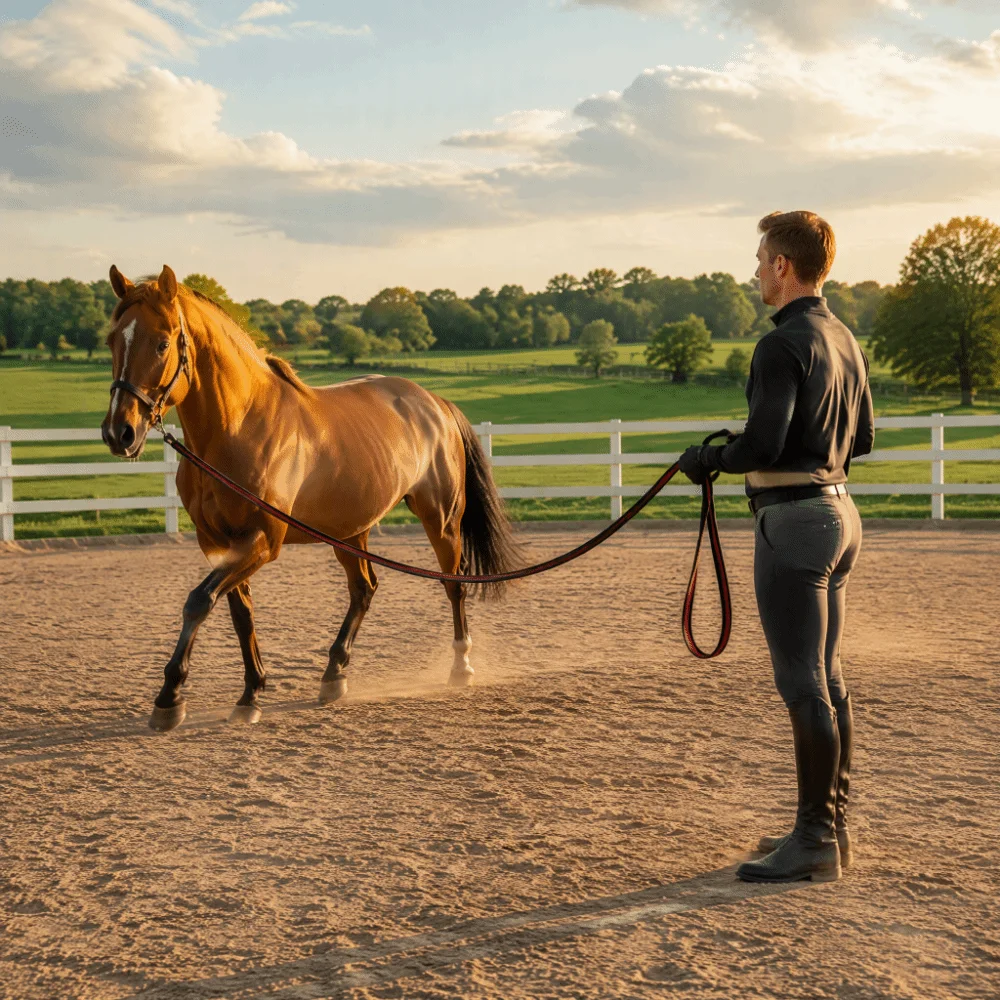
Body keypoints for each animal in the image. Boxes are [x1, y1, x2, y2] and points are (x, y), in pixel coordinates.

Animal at [101, 265, 521, 732]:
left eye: (162, 342)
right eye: (113, 340)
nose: (119, 432)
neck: (238, 428)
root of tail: (435, 403)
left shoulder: (263, 541)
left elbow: (198, 602)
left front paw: (170, 696)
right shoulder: (219, 543)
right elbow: (239, 614)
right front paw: (251, 693)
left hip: (441, 520)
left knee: (453, 584)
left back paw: (460, 667)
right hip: (351, 531)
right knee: (364, 589)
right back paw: (334, 673)